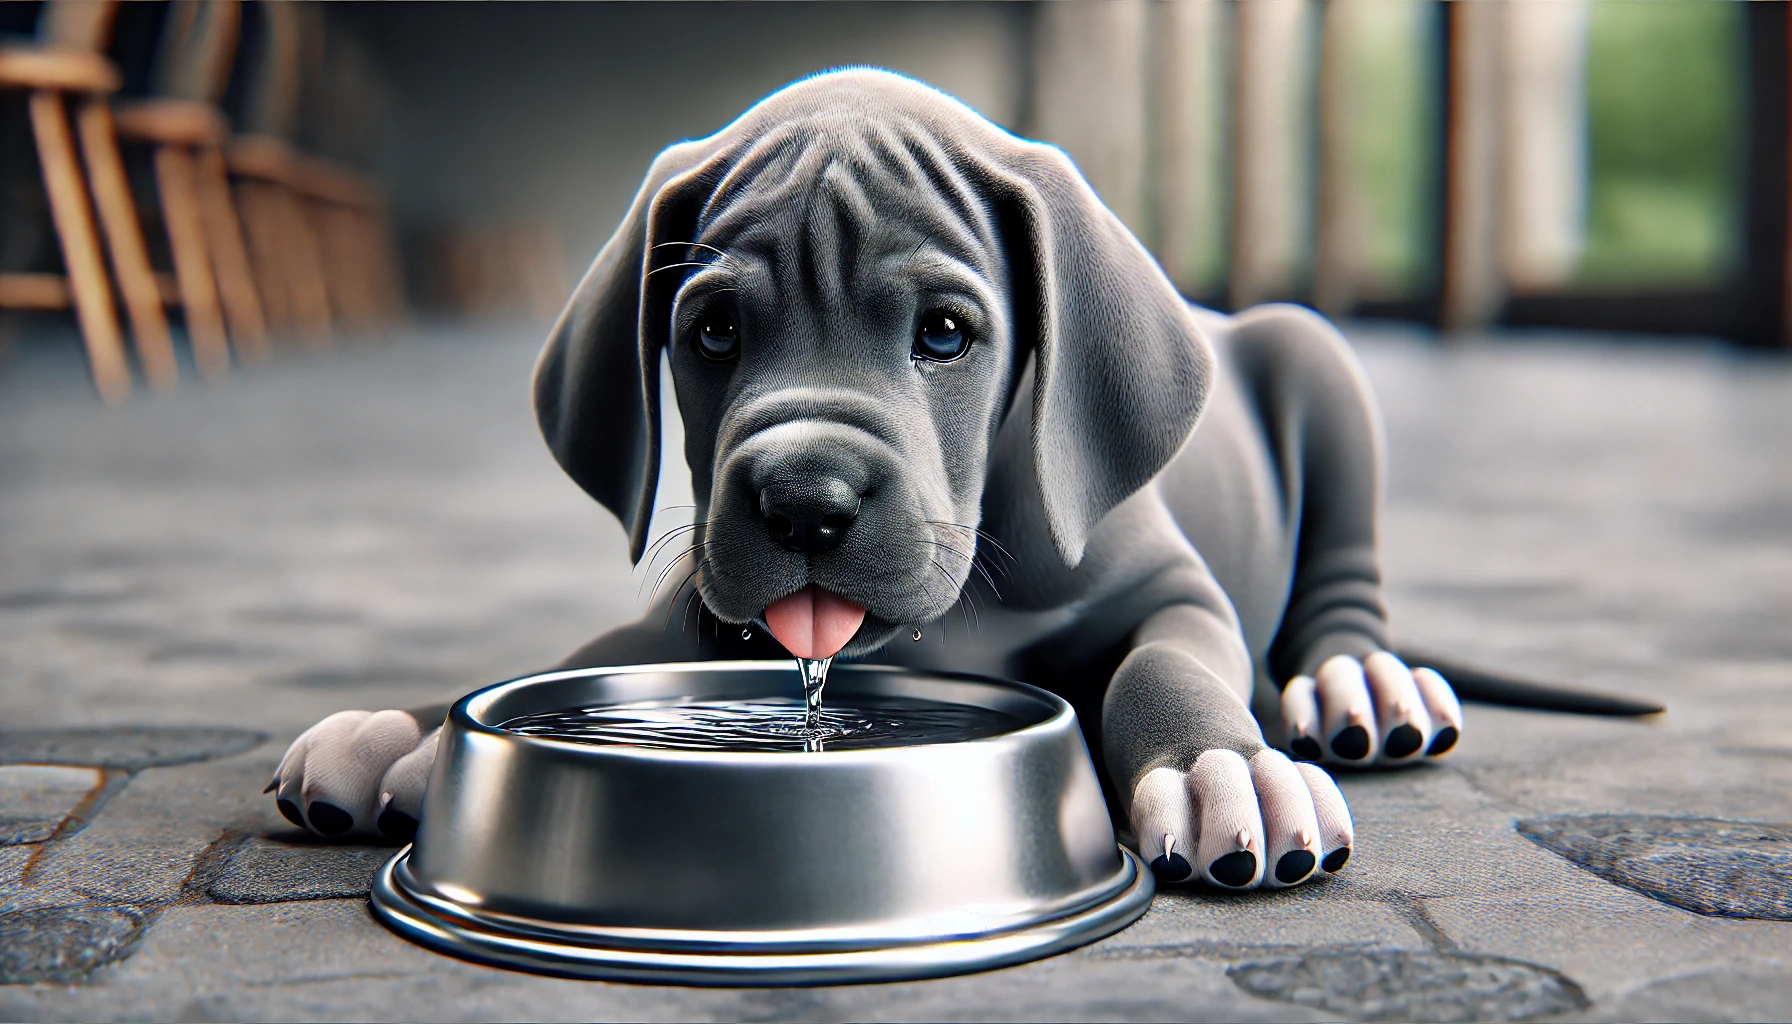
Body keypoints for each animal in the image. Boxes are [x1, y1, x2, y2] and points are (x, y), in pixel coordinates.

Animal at [272, 69, 1462, 889]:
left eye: (945, 333)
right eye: (712, 331)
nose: (807, 502)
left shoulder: (1173, 588)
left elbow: (1164, 666)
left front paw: (1223, 767)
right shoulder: (697, 620)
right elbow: (588, 659)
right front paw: (417, 732)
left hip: (1314, 357)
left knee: (1340, 591)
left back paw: (1361, 683)